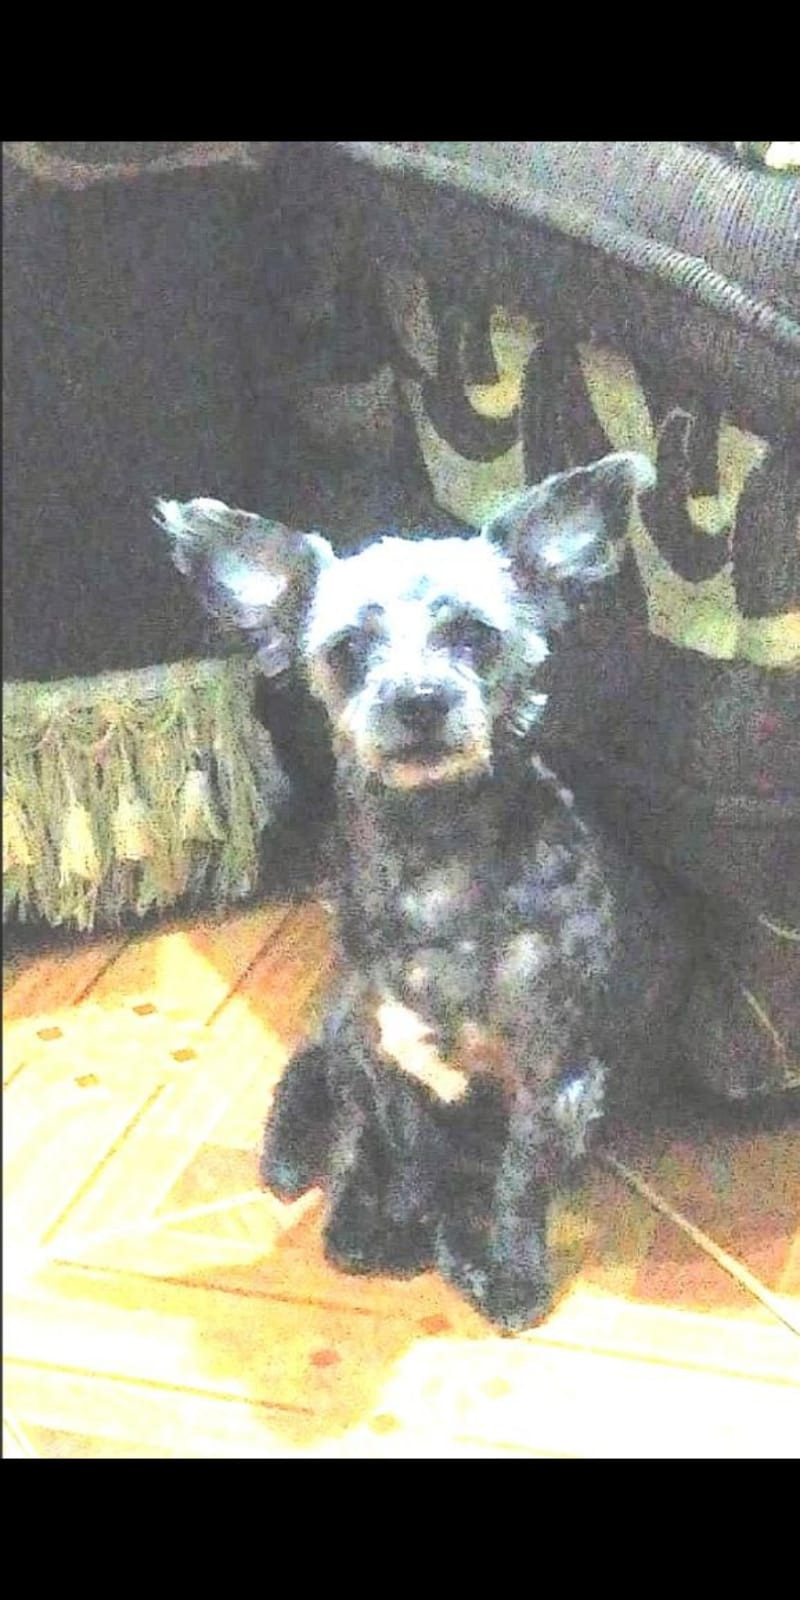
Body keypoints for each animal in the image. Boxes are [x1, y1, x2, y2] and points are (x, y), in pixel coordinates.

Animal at [156, 451, 693, 1330]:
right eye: (348, 648)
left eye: (475, 633)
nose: (420, 701)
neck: (434, 862)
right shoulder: (389, 1061)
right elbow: (405, 1154)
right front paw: (405, 1226)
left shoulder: (551, 1080)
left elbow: (516, 1183)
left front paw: (507, 1273)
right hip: (347, 1028)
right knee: (335, 1109)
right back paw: (335, 1201)